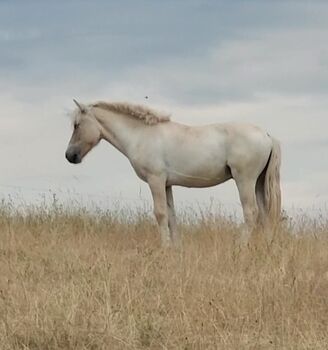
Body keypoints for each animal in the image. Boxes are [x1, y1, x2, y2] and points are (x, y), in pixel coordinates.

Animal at [65, 98, 280, 246]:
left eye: (77, 125)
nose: (69, 156)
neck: (141, 135)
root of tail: (267, 135)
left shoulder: (156, 181)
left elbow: (160, 214)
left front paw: (165, 247)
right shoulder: (167, 184)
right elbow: (171, 216)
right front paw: (176, 247)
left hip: (245, 180)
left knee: (251, 212)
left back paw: (240, 246)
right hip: (258, 183)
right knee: (264, 214)